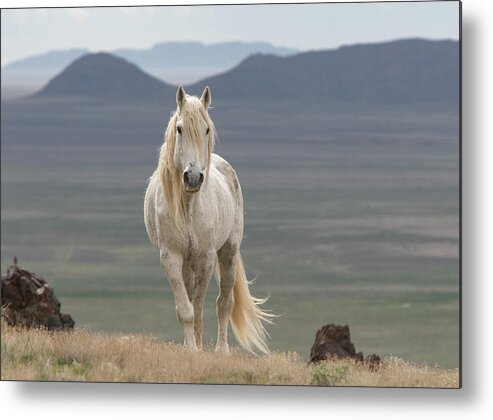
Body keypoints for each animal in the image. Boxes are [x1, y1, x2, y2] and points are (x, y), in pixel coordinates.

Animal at [144, 85, 272, 354]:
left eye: (207, 129)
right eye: (179, 128)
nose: (193, 177)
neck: (189, 207)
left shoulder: (207, 256)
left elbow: (201, 306)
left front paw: (199, 348)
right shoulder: (171, 256)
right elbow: (186, 308)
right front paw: (191, 348)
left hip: (229, 251)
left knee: (225, 301)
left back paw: (221, 350)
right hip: (187, 262)